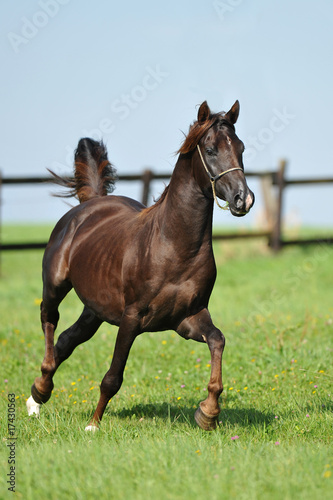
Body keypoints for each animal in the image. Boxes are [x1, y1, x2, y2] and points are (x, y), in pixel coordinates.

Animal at [26, 100, 254, 430]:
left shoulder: (188, 317)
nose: (243, 200)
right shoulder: (132, 317)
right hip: (56, 285)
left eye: (241, 148)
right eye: (210, 150)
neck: (172, 247)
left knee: (66, 340)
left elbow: (217, 340)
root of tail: (89, 204)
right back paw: (41, 391)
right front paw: (93, 424)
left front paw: (208, 413)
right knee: (49, 319)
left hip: (95, 310)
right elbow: (113, 377)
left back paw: (35, 397)